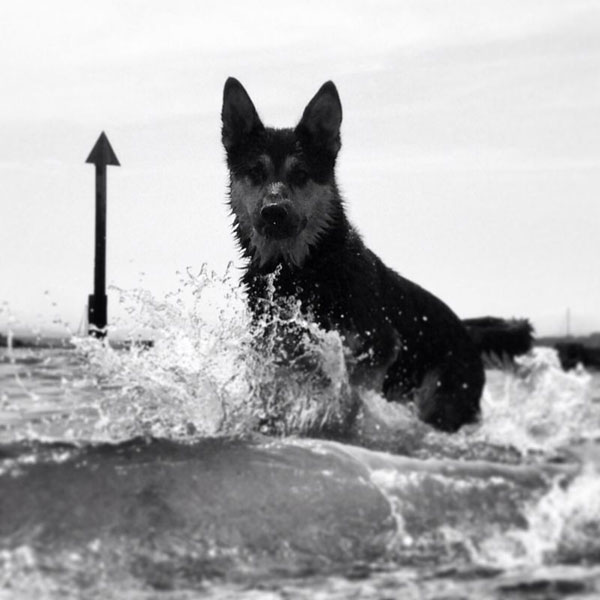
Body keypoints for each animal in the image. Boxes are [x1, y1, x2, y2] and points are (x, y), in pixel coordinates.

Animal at [223, 78, 486, 432]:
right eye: (255, 171)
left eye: (301, 174)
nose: (274, 212)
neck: (300, 270)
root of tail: (469, 335)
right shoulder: (275, 358)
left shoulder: (378, 348)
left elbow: (350, 399)